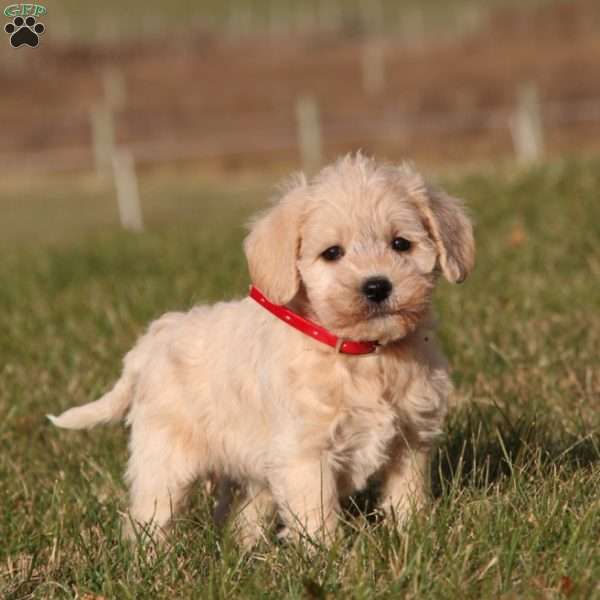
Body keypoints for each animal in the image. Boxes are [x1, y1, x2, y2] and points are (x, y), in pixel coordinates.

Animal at [49, 154, 474, 544]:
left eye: (401, 244)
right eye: (332, 252)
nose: (377, 286)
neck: (363, 356)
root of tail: (149, 342)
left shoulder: (410, 439)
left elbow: (407, 498)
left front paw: (416, 537)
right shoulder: (305, 456)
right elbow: (318, 519)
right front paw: (330, 562)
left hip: (247, 470)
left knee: (237, 514)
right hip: (163, 459)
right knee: (147, 518)